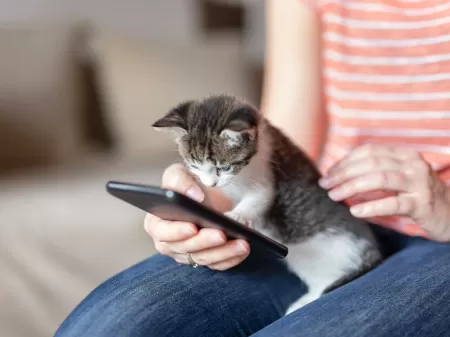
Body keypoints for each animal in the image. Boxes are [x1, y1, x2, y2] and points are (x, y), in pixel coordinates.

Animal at [153, 93, 382, 314]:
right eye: (194, 165)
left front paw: (235, 216)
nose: (211, 182)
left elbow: (258, 199)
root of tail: (374, 253)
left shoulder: (266, 180)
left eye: (224, 167)